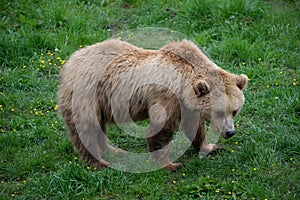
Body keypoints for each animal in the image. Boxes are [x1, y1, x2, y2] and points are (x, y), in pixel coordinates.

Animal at [56, 39, 248, 172]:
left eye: (235, 111)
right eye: (219, 112)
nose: (229, 132)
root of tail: (70, 61)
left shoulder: (188, 105)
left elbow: (194, 127)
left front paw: (211, 147)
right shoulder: (168, 97)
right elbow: (161, 129)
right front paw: (172, 164)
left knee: (98, 127)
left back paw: (114, 151)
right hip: (86, 96)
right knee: (86, 129)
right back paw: (99, 162)